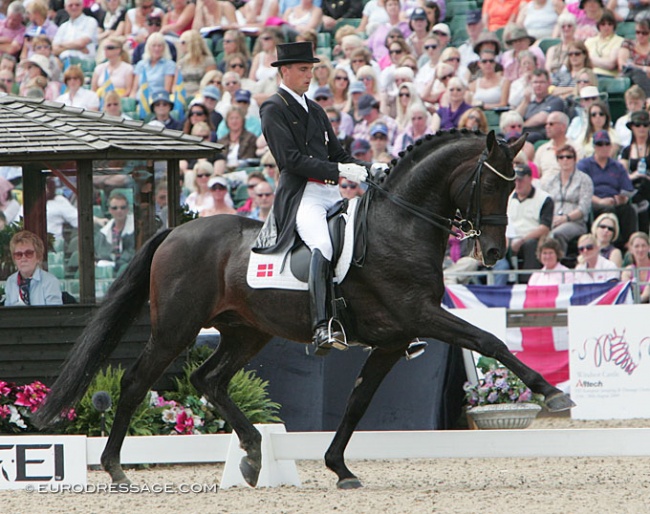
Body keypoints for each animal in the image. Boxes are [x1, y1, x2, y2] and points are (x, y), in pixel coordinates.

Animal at [35, 129, 572, 488]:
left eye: (516, 187)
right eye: (491, 185)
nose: (495, 253)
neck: (400, 226)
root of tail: (174, 232)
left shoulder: (393, 339)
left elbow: (357, 402)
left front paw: (340, 467)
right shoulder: (419, 314)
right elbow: (489, 339)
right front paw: (553, 395)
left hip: (247, 331)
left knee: (209, 380)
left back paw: (253, 455)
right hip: (176, 328)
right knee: (135, 381)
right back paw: (115, 469)